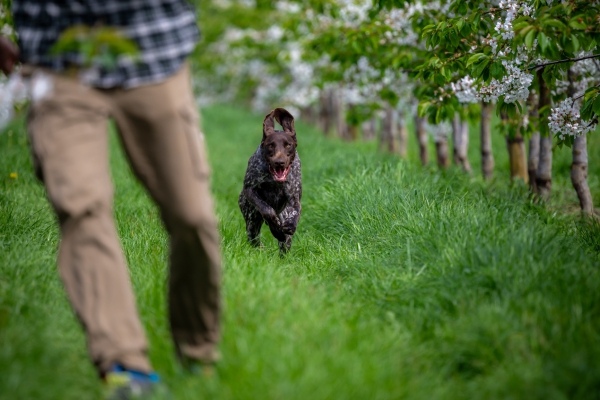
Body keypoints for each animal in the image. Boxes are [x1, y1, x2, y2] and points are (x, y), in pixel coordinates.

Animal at [238, 108, 302, 255]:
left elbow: (296, 210)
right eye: (271, 145)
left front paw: (290, 225)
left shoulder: (294, 196)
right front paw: (276, 229)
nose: (279, 162)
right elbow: (267, 209)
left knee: (284, 245)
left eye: (288, 145)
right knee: (256, 241)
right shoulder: (249, 189)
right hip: (252, 225)